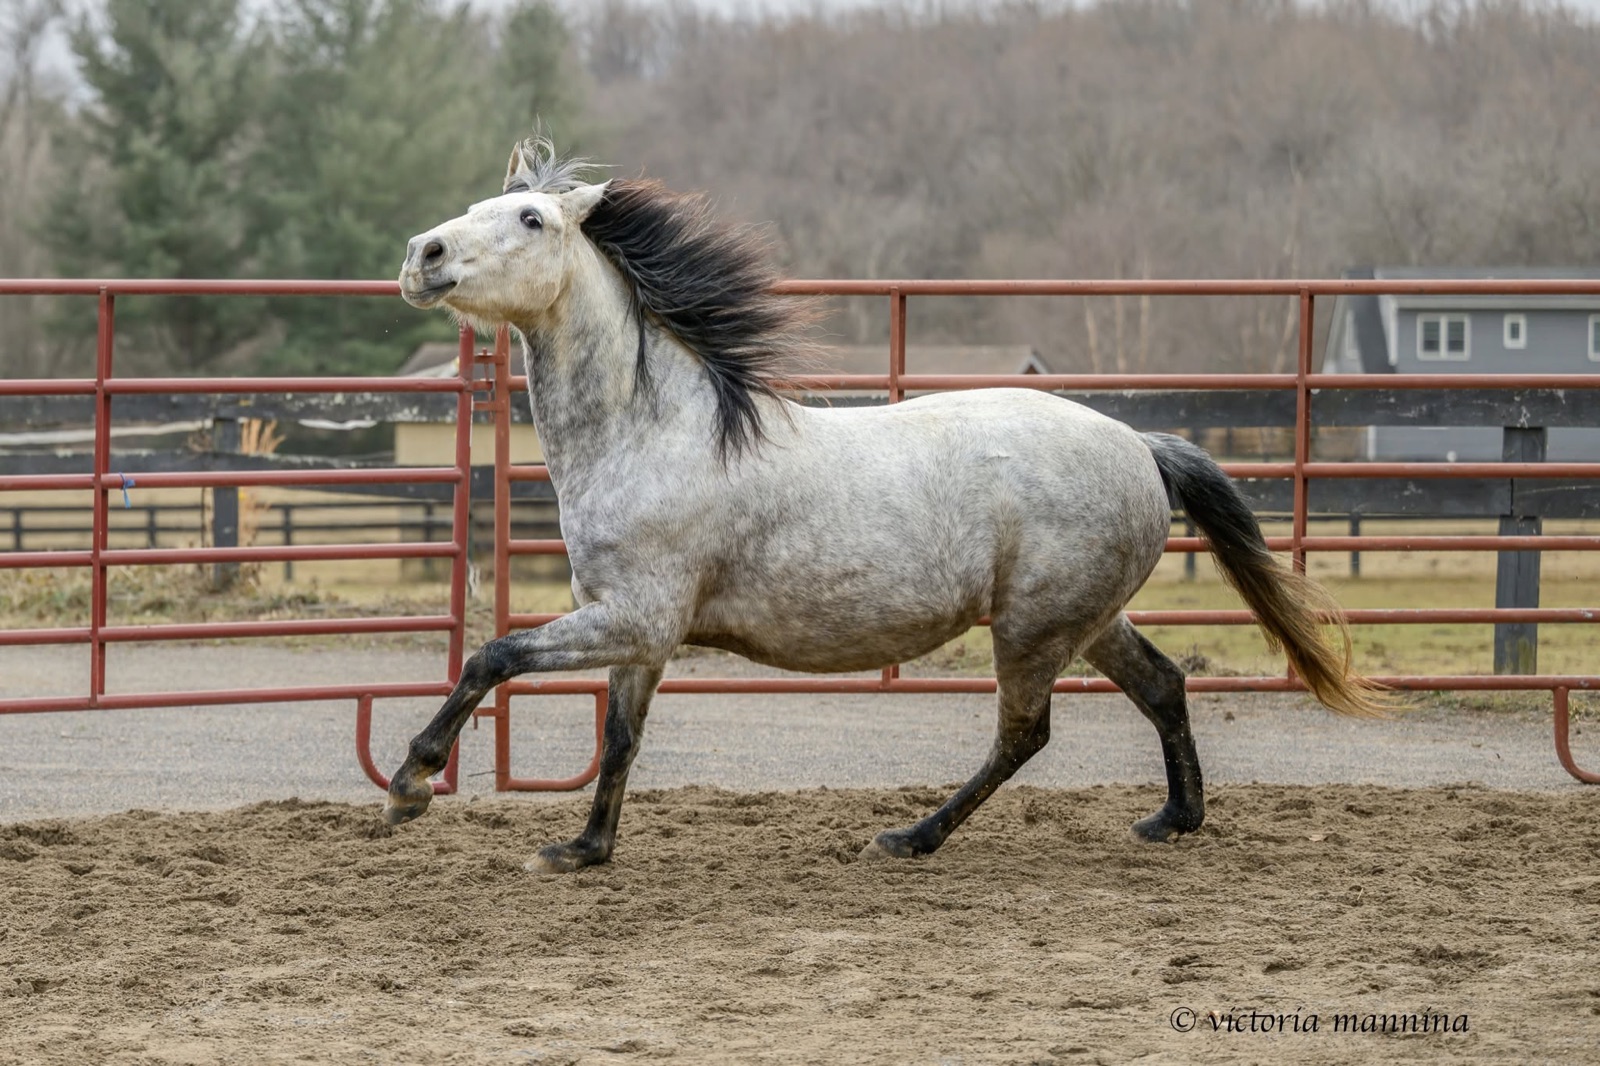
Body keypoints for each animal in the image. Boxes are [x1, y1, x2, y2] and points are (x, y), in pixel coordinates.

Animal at [385, 136, 1383, 872]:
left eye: (529, 217)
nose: (420, 255)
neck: (655, 429)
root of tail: (1141, 445)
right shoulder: (639, 632)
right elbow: (622, 735)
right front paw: (582, 849)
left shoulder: (636, 616)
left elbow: (492, 655)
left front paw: (412, 781)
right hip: (1086, 619)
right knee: (1164, 685)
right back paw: (1173, 820)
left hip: (1033, 630)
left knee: (1025, 733)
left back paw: (912, 836)